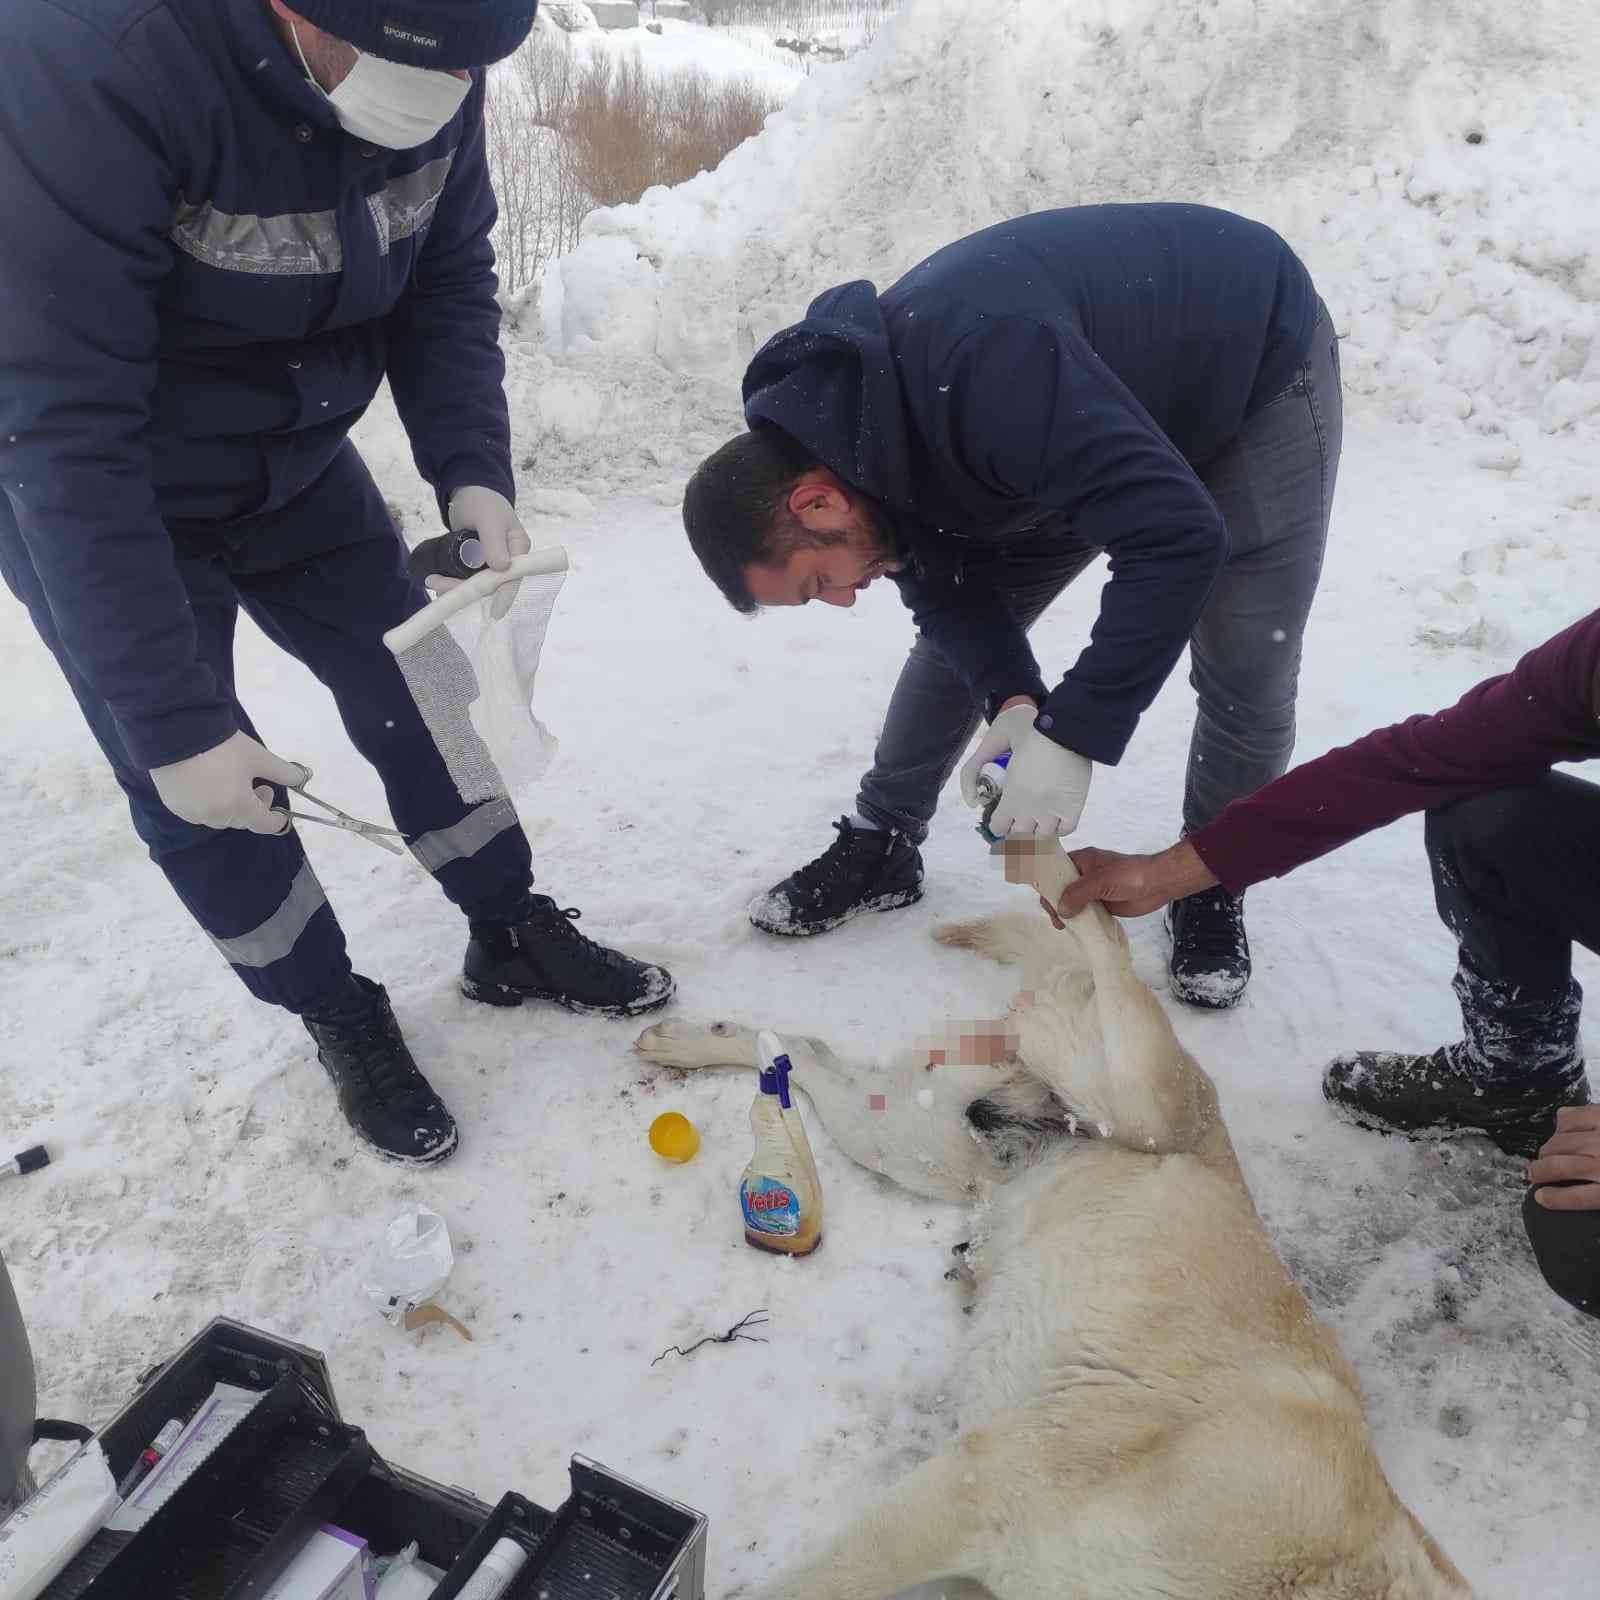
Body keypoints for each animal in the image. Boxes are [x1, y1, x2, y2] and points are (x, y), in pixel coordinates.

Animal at [633, 844, 1472, 1593]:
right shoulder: (988, 1481)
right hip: (1134, 1095)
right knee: (1102, 936)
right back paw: (1053, 854)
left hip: (911, 1139)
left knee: (805, 1054)